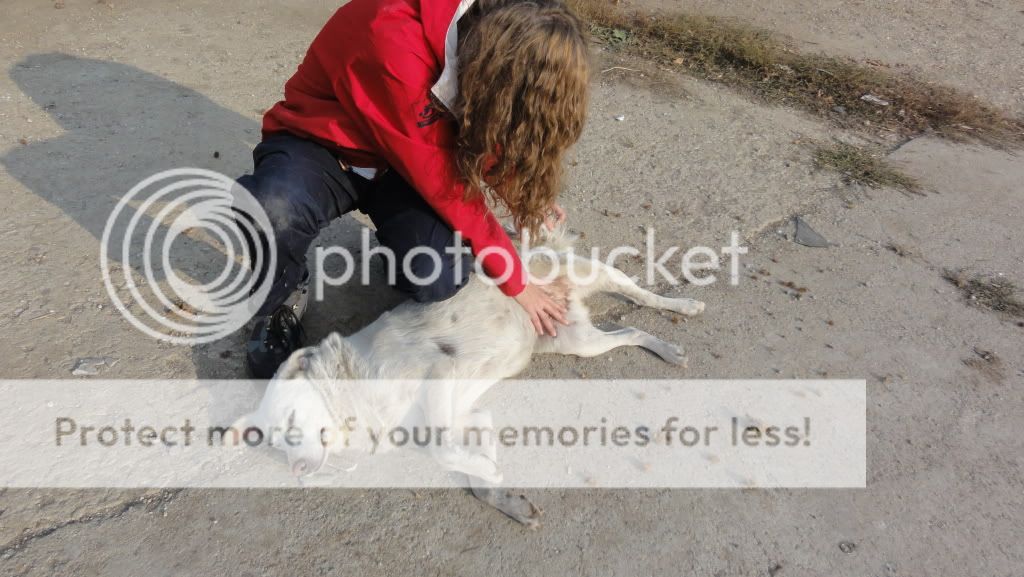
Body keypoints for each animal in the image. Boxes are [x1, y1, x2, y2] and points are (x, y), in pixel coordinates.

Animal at [234, 226, 704, 528]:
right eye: (275, 444)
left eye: (291, 420)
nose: (296, 472)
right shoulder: (471, 416)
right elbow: (475, 479)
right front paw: (504, 494)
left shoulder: (441, 372)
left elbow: (444, 452)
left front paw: (487, 470)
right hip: (578, 341)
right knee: (632, 332)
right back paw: (668, 348)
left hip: (598, 277)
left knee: (641, 295)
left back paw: (684, 305)